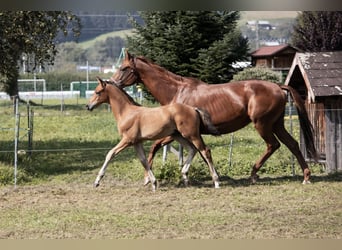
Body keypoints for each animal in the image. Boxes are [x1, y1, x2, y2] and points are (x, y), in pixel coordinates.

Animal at [85, 77, 219, 190]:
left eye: (97, 92)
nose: (87, 106)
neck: (127, 112)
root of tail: (193, 109)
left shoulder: (127, 140)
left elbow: (110, 154)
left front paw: (97, 181)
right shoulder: (137, 142)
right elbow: (144, 161)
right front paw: (153, 183)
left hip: (192, 135)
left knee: (205, 151)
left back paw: (216, 181)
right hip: (178, 136)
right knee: (192, 149)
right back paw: (185, 176)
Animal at [111, 50, 316, 184]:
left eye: (124, 68)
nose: (111, 83)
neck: (177, 92)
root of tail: (278, 87)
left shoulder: (178, 132)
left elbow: (155, 147)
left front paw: (148, 178)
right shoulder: (182, 134)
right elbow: (198, 153)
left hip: (262, 125)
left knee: (273, 145)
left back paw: (254, 174)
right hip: (277, 124)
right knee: (292, 144)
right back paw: (306, 177)